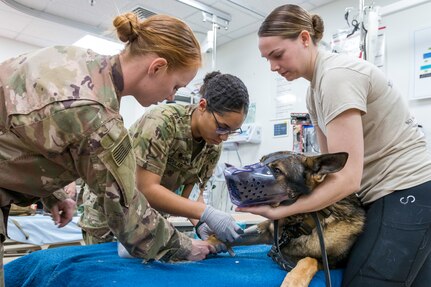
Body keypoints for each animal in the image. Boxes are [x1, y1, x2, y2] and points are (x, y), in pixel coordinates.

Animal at [209, 152, 364, 286]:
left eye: (277, 170)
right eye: (260, 161)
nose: (227, 172)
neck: (297, 224)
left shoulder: (332, 263)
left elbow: (309, 260)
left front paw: (294, 281)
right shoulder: (265, 231)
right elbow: (222, 236)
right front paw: (207, 244)